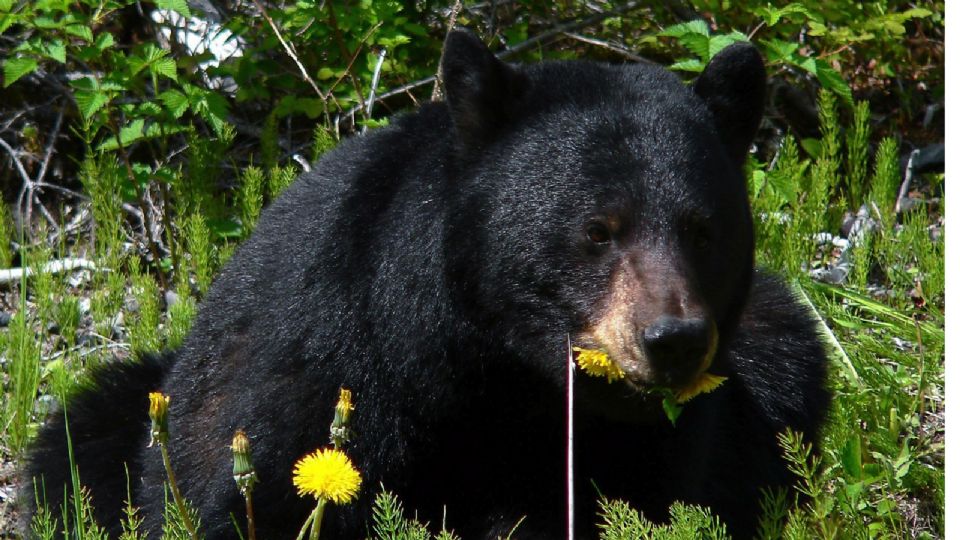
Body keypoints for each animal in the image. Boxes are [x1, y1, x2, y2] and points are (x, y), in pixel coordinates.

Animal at [26, 30, 828, 540]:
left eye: (702, 229)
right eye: (598, 229)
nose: (673, 340)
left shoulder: (656, 440)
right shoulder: (322, 359)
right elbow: (250, 493)